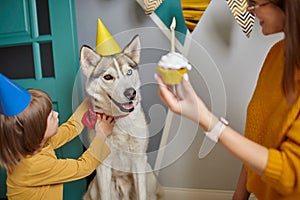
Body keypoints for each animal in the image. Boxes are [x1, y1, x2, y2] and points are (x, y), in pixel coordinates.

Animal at [79, 35, 159, 199]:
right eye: (108, 77)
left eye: (129, 72)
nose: (131, 93)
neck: (120, 122)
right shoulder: (102, 166)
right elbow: (104, 195)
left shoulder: (139, 161)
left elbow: (142, 194)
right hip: (95, 187)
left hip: (149, 174)